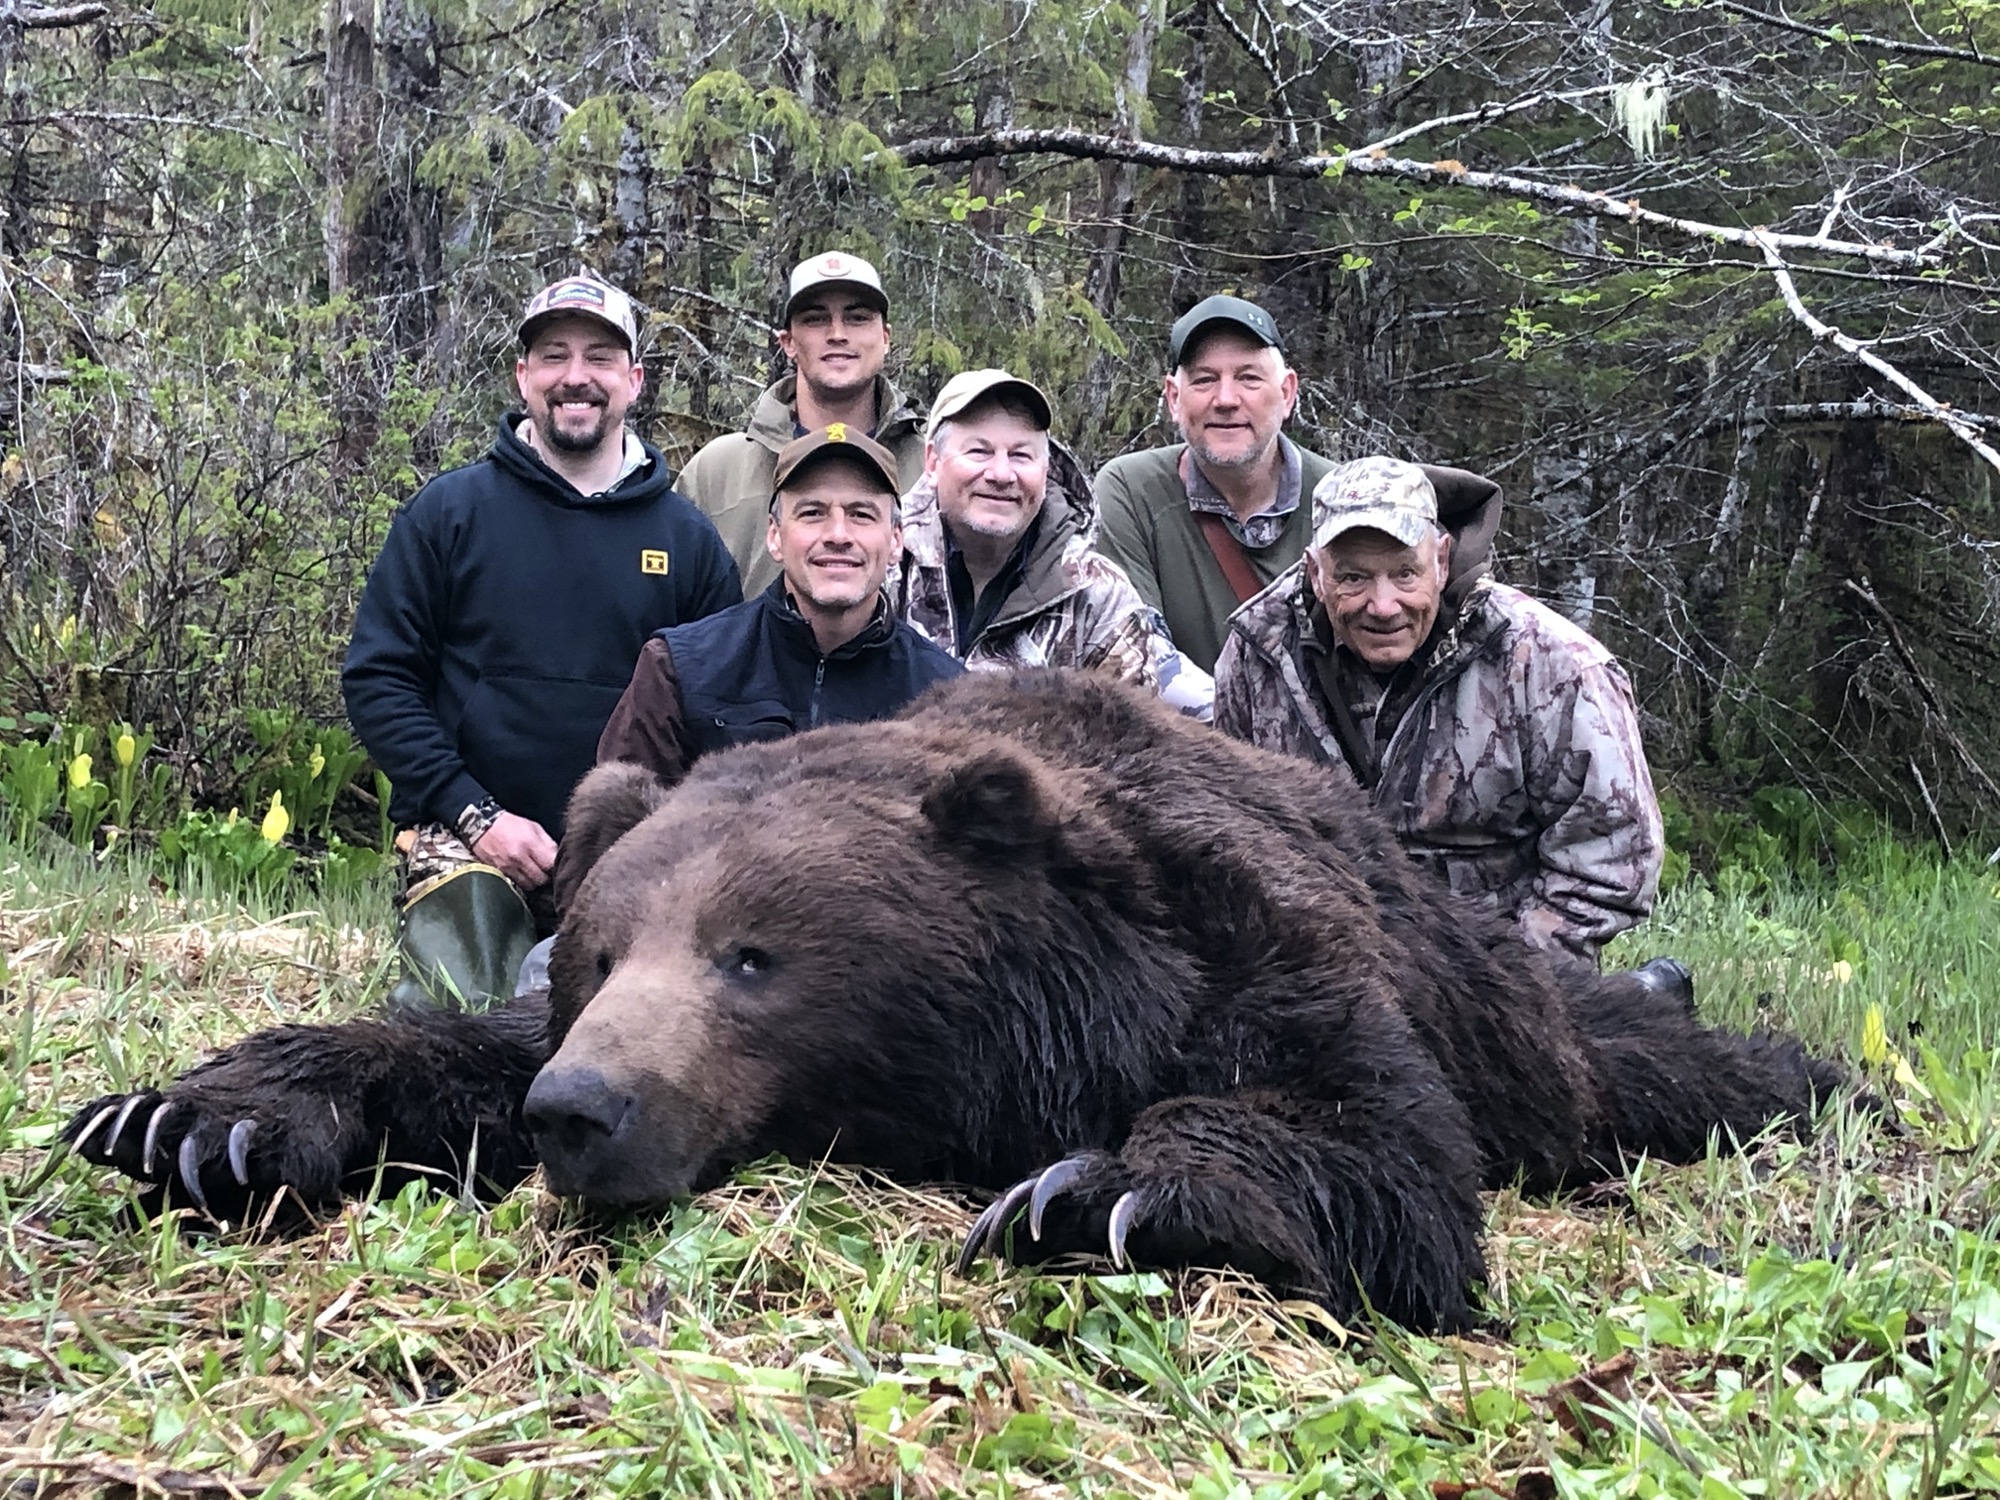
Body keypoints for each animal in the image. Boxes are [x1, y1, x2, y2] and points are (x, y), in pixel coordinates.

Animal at [60, 669, 1842, 1333]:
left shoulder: (1251, 955)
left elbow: (1376, 1145)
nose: (582, 1112)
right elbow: (436, 1054)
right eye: (601, 956)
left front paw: (1101, 1194)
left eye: (753, 955)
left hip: (1520, 1018)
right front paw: (191, 1119)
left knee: (1654, 1067)